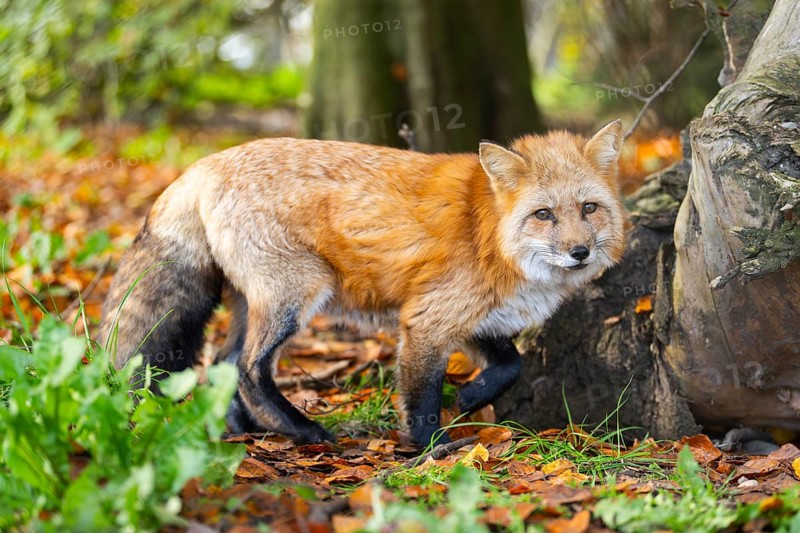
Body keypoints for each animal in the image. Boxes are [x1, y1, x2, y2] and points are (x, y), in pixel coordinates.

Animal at [99, 120, 626, 446]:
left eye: (588, 208)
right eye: (544, 214)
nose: (579, 252)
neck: (491, 233)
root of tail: (206, 163)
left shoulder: (473, 317)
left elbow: (510, 364)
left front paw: (472, 397)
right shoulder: (427, 319)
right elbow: (422, 397)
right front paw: (432, 446)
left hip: (256, 303)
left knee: (225, 364)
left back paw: (249, 431)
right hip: (297, 294)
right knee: (249, 368)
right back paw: (303, 430)